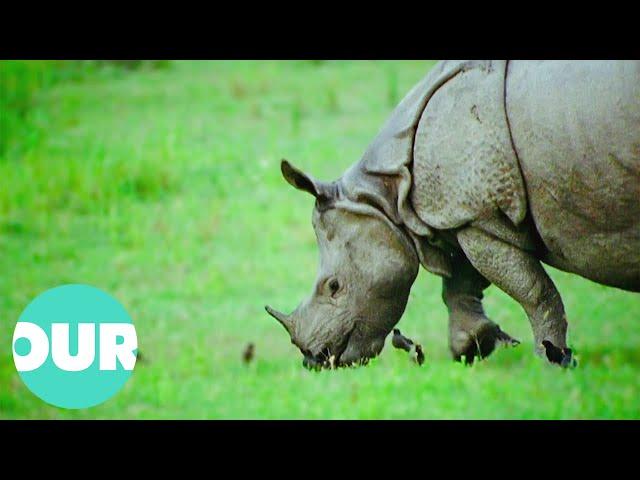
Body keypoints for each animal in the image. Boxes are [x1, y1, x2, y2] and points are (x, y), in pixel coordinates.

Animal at [264, 60, 640, 368]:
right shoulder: (462, 215)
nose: (314, 360)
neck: (385, 194)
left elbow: (532, 291)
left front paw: (553, 360)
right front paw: (472, 346)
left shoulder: (479, 217)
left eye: (334, 286)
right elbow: (460, 284)